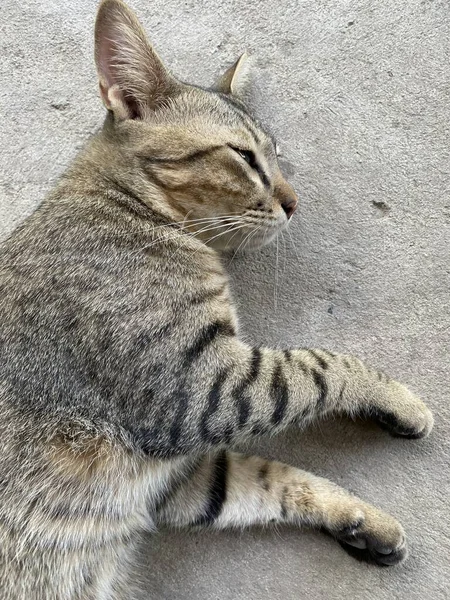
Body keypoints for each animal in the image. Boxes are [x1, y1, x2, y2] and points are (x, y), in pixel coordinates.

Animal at [0, 0, 436, 596]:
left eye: (277, 156)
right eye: (245, 158)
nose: (295, 202)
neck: (131, 207)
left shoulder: (179, 475)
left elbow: (266, 476)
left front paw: (363, 519)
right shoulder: (200, 385)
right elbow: (320, 365)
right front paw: (403, 401)